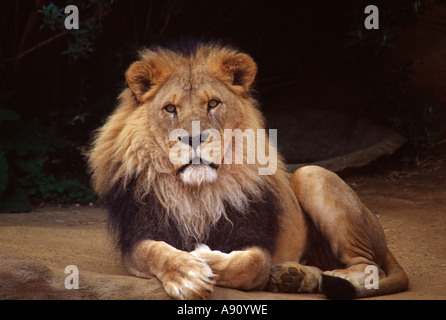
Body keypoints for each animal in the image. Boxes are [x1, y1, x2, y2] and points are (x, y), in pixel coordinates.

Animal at [87, 40, 408, 300]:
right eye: (170, 109)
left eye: (212, 103)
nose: (194, 138)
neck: (196, 193)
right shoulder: (138, 235)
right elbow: (158, 252)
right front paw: (187, 273)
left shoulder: (251, 238)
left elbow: (250, 264)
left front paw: (202, 258)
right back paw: (295, 277)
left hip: (312, 175)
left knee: (369, 267)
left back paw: (332, 277)